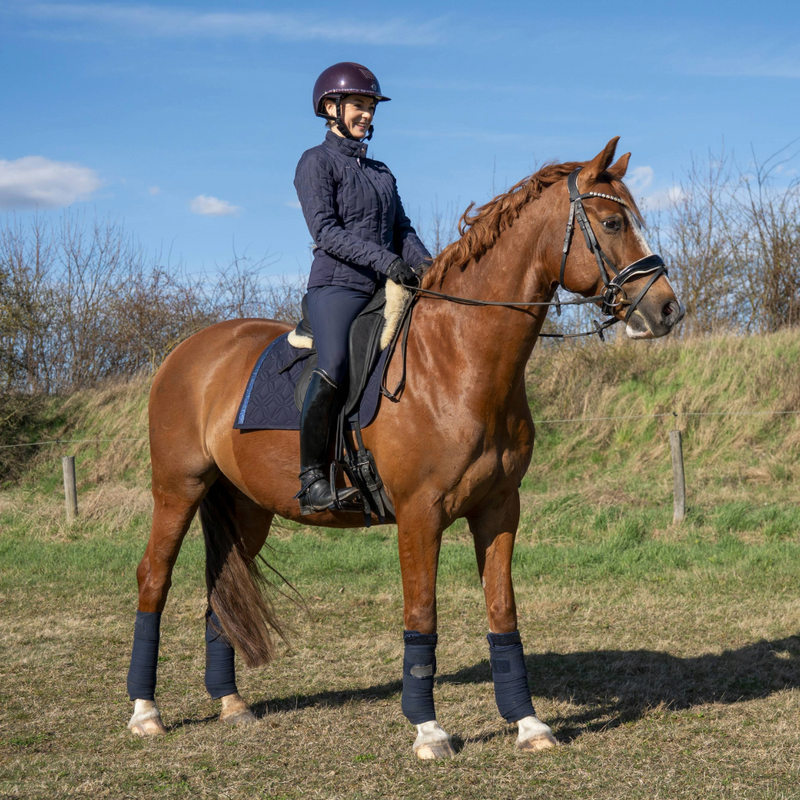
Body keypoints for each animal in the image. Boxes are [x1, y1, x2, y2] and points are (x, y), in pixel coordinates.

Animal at [125, 137, 684, 759]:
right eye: (611, 223)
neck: (458, 359)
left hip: (247, 507)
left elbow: (502, 612)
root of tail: (187, 352)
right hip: (178, 489)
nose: (666, 309)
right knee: (153, 579)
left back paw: (231, 703)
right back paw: (145, 712)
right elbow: (422, 613)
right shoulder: (420, 514)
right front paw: (429, 729)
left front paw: (528, 723)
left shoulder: (499, 509)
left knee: (224, 584)